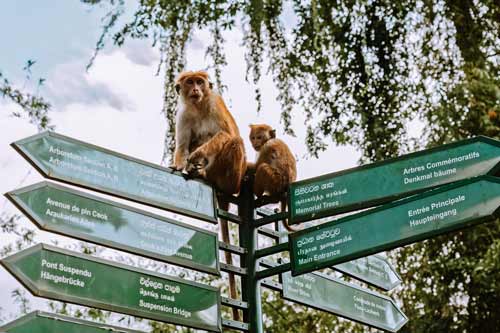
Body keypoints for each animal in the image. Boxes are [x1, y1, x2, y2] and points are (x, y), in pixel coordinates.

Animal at [170, 69, 244, 320]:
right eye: (190, 82)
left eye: (200, 82)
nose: (196, 89)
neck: (199, 106)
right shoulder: (182, 114)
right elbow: (182, 147)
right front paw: (179, 165)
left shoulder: (214, 103)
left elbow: (226, 133)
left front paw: (196, 156)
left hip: (232, 175)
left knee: (234, 141)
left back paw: (206, 173)